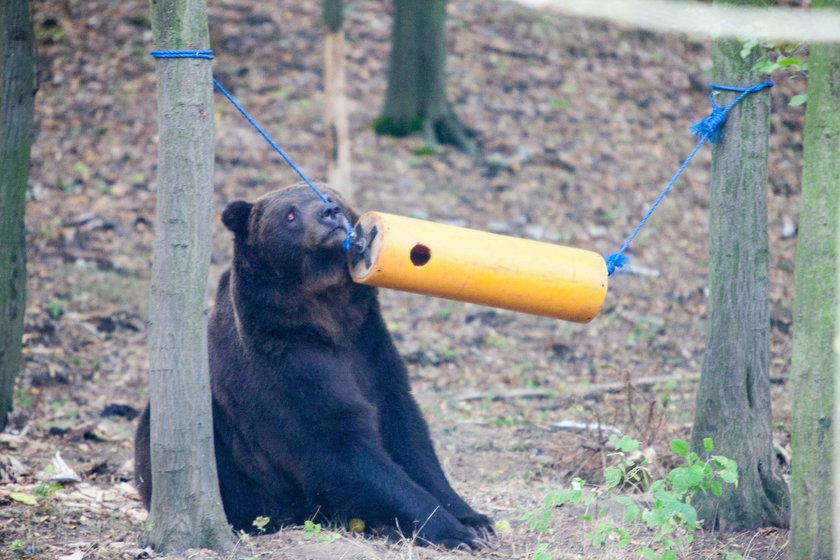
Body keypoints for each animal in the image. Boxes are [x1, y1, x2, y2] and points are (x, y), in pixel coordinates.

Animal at [135, 183, 492, 548]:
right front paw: (453, 531)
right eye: (290, 213)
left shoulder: (370, 346)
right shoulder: (285, 363)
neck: (327, 317)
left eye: (329, 195)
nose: (329, 212)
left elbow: (407, 432)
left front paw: (475, 520)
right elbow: (337, 443)